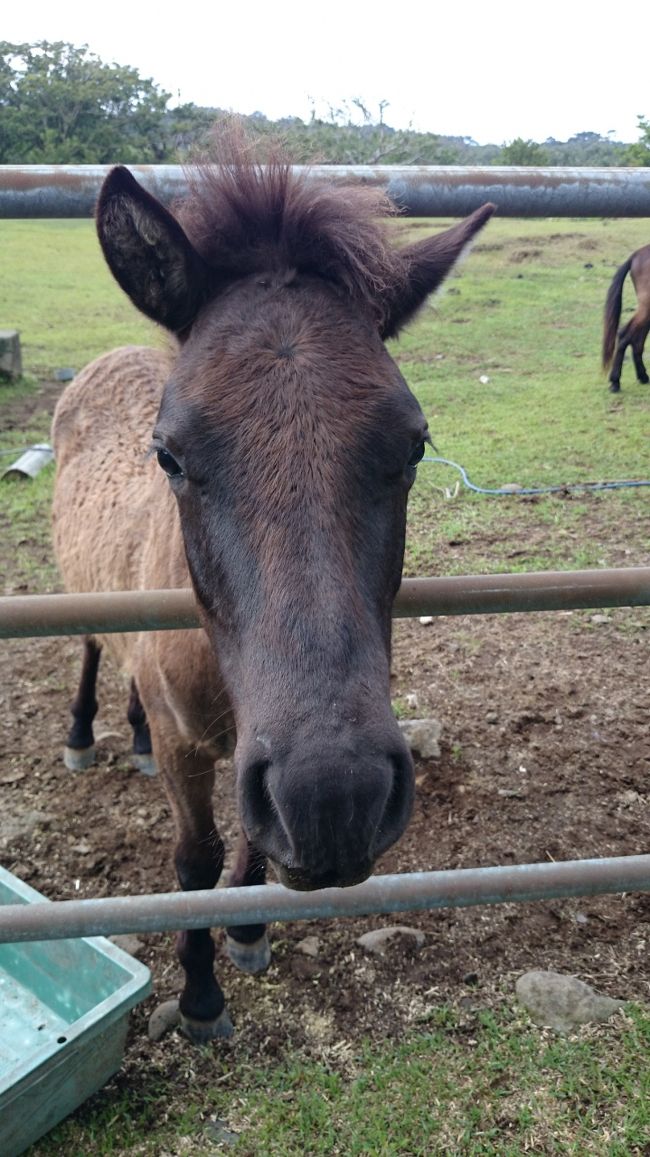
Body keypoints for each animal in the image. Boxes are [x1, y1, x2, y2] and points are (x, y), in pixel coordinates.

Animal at [51, 133, 490, 1041]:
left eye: (415, 444)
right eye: (170, 455)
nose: (337, 798)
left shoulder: (257, 751)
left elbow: (253, 845)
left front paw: (249, 930)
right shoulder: (192, 752)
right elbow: (197, 859)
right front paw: (200, 995)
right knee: (91, 647)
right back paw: (83, 734)